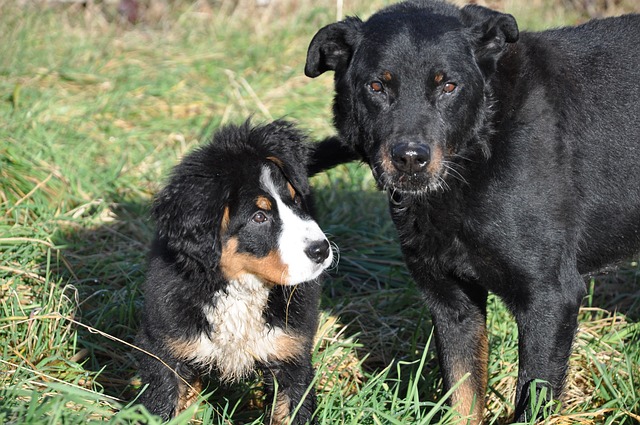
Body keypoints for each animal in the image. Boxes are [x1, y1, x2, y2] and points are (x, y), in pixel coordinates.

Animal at [137, 119, 332, 424]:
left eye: (295, 201)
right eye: (259, 217)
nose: (321, 250)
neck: (241, 289)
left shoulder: (291, 353)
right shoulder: (164, 349)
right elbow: (162, 405)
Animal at [306, 0, 640, 420]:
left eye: (448, 86)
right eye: (377, 86)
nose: (410, 158)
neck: (478, 150)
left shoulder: (550, 297)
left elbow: (532, 401)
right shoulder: (452, 303)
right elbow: (462, 397)